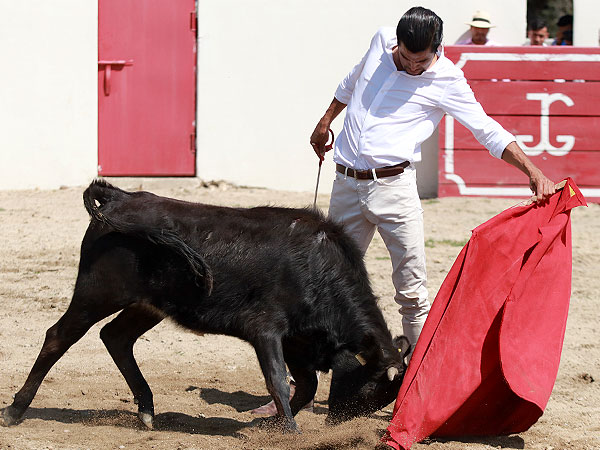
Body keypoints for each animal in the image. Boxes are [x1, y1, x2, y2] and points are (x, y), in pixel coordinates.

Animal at [0, 179, 410, 432]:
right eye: (371, 391)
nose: (338, 424)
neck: (318, 268)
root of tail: (122, 198)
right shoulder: (265, 330)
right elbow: (278, 381)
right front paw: (289, 431)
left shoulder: (299, 342)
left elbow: (305, 386)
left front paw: (271, 424)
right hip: (97, 291)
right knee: (59, 336)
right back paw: (15, 411)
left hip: (148, 305)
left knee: (115, 337)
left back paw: (147, 412)